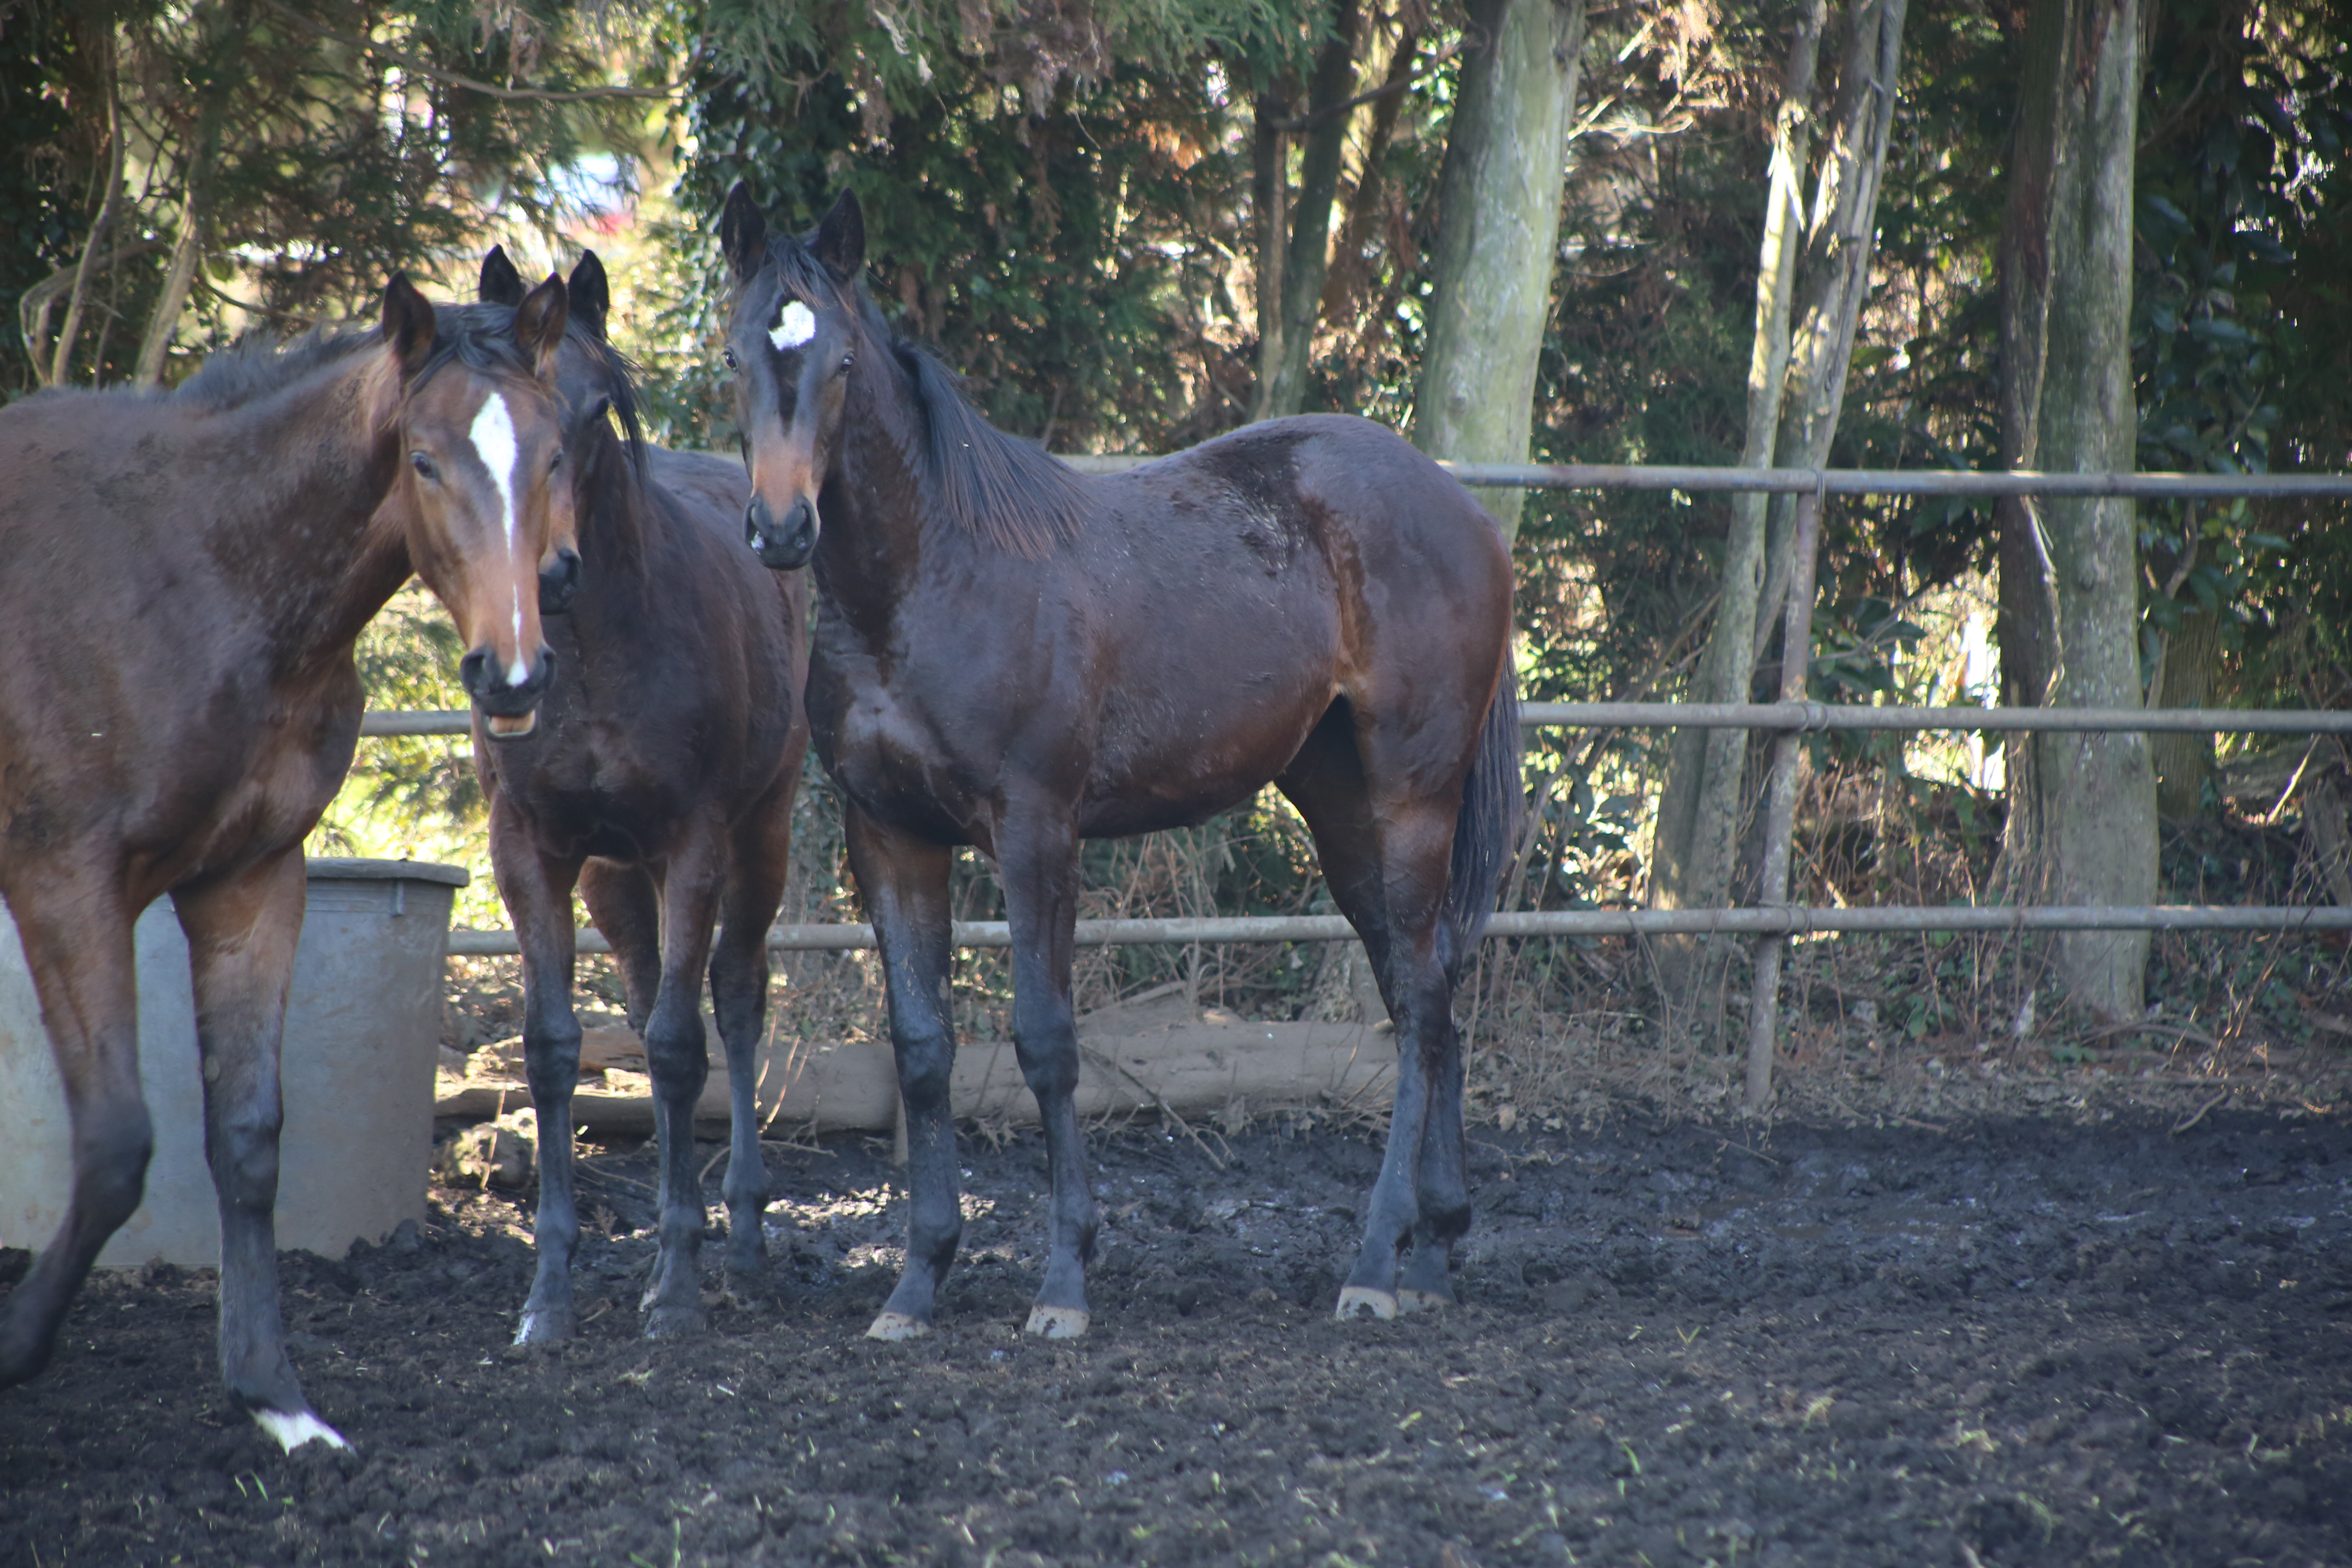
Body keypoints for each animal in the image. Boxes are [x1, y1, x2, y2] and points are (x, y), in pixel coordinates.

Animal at [2, 272, 581, 1448]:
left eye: (554, 455)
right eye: (424, 460)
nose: (511, 675)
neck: (200, 571)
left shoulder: (250, 879)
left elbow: (249, 1138)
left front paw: (275, 1395)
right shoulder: (65, 884)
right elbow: (117, 1145)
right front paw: (16, 1346)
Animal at [472, 242, 813, 1335]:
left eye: (593, 410)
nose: (549, 573)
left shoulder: (696, 839)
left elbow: (676, 1044)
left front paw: (677, 1288)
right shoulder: (530, 848)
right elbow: (553, 1047)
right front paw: (547, 1297)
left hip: (761, 833)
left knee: (735, 1003)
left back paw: (737, 1237)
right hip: (615, 876)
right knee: (646, 986)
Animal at [719, 184, 1524, 1335]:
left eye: (838, 362)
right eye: (735, 355)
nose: (781, 529)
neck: (930, 582)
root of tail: (1467, 513)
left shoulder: (1035, 832)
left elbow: (1045, 1042)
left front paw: (1063, 1281)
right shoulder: (893, 837)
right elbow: (920, 1053)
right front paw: (917, 1281)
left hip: (1412, 797)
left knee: (1417, 1003)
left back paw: (1374, 1263)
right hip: (1339, 808)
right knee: (1427, 989)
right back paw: (1432, 1250)